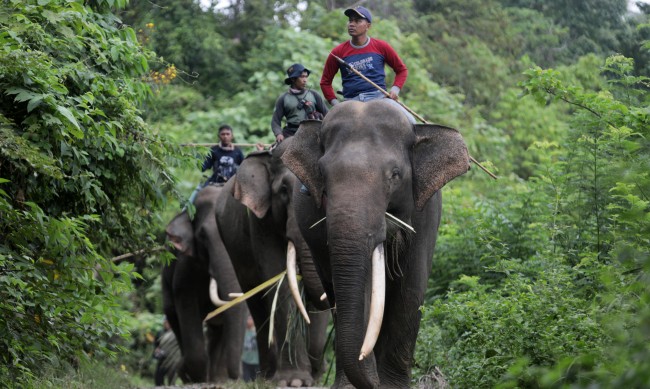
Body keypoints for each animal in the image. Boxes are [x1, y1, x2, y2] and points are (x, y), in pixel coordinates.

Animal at [280, 100, 468, 388]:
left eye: (395, 175)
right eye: (322, 174)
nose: (374, 381)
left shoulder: (426, 213)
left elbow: (410, 289)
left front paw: (390, 386)